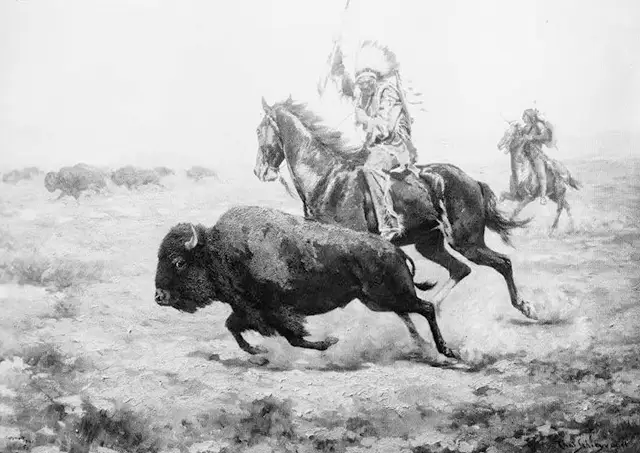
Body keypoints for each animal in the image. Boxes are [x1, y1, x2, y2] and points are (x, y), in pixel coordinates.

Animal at [154, 205, 458, 360]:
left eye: (179, 262)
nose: (159, 296)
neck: (218, 250)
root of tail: (394, 250)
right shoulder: (247, 310)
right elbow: (233, 328)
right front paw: (259, 351)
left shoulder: (276, 311)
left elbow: (295, 338)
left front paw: (330, 342)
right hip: (377, 301)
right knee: (409, 313)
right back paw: (423, 346)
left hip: (391, 295)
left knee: (426, 308)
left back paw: (447, 351)